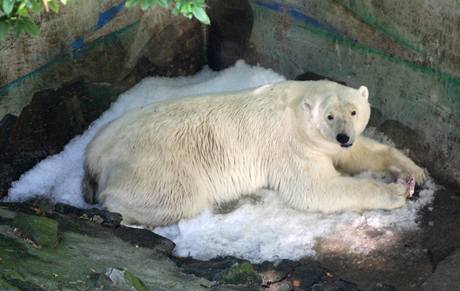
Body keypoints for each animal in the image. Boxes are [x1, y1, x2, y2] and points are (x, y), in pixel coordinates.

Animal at [82, 80, 428, 228]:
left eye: (354, 111)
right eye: (330, 115)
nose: (344, 136)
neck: (296, 106)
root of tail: (92, 153)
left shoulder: (324, 143)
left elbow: (360, 153)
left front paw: (413, 172)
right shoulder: (290, 145)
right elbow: (315, 189)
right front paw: (396, 191)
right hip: (152, 163)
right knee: (175, 198)